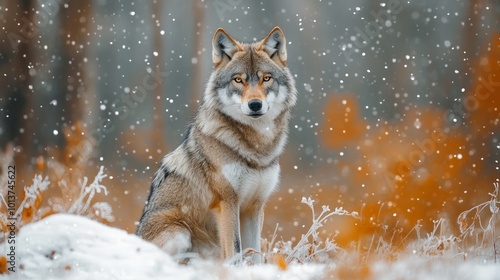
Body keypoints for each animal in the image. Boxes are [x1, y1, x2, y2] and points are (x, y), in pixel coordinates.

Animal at [137, 26, 296, 262]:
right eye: (238, 80)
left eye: (266, 78)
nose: (255, 104)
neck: (256, 148)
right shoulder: (227, 203)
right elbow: (236, 251)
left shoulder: (255, 207)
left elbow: (256, 253)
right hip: (180, 231)